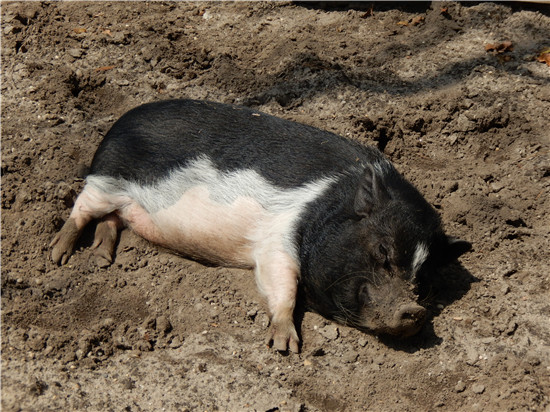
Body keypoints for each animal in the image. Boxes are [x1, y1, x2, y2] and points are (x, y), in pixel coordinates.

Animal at [51, 98, 472, 352]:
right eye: (383, 250)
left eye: (424, 279)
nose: (413, 310)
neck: (326, 207)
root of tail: (121, 122)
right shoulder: (277, 241)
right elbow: (282, 285)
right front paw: (285, 346)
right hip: (107, 179)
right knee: (82, 208)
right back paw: (59, 255)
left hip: (119, 198)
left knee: (111, 219)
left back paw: (102, 257)